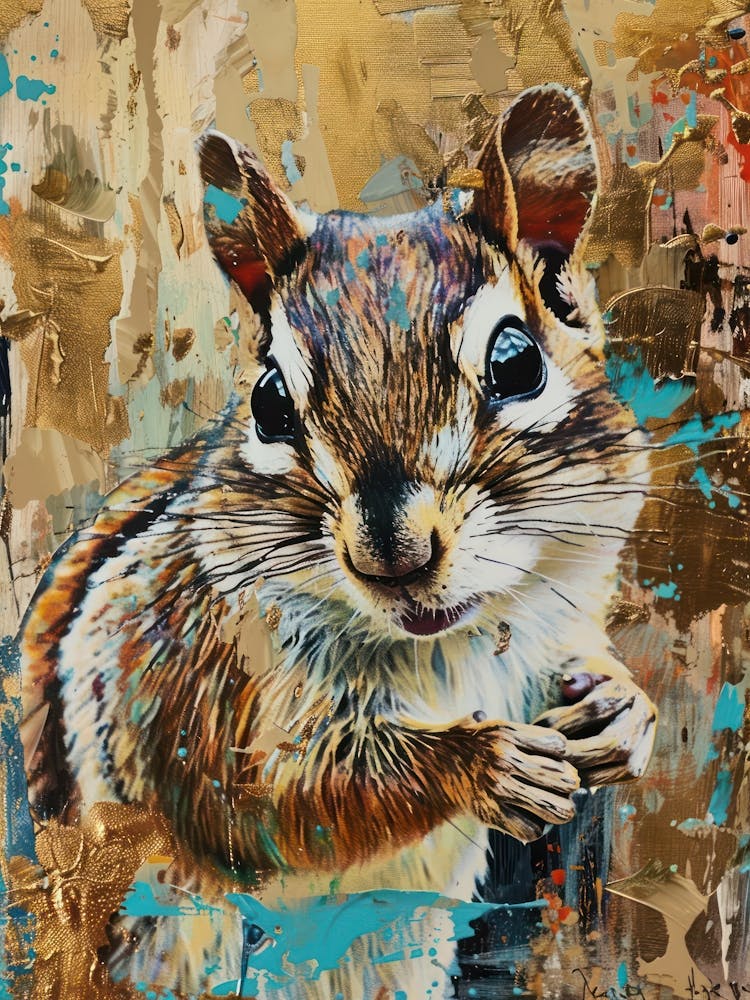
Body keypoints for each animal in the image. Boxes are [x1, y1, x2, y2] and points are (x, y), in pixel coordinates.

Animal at [19, 84, 657, 998]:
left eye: (517, 362)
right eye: (268, 401)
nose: (394, 554)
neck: (451, 645)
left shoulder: (562, 616)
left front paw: (621, 713)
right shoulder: (202, 694)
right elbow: (277, 801)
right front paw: (483, 761)